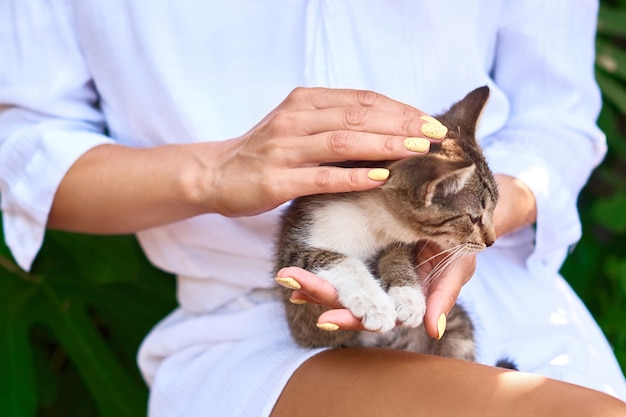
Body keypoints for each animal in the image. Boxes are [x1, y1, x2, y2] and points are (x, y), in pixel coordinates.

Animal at [272, 85, 498, 360]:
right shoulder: (294, 246)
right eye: (474, 218)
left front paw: (408, 295)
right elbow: (337, 259)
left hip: (457, 325)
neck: (370, 220)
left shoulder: (398, 240)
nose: (492, 241)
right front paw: (373, 302)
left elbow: (397, 255)